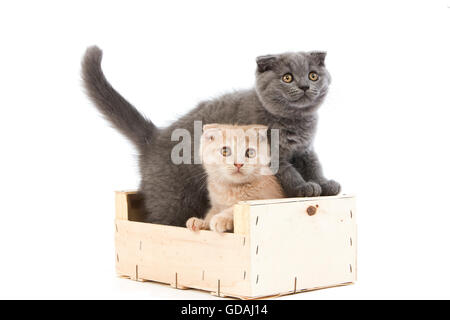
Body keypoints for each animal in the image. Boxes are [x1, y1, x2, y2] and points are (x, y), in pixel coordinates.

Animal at [81, 47, 342, 228]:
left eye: (313, 75)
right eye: (287, 78)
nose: (305, 86)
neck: (294, 121)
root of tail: (154, 137)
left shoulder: (305, 149)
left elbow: (314, 165)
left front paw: (326, 184)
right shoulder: (273, 155)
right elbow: (289, 172)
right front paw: (304, 187)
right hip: (172, 199)